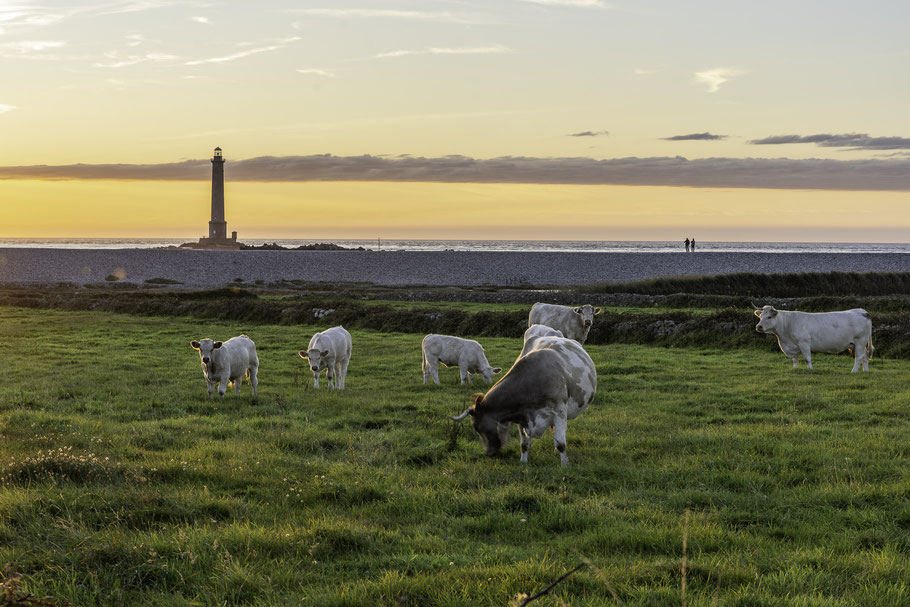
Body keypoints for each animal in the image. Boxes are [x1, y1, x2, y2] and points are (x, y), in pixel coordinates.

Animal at [450, 334, 596, 468]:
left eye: (477, 427)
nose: (488, 453)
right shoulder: (522, 416)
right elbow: (524, 444)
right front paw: (523, 462)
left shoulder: (559, 412)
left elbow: (560, 443)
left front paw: (565, 465)